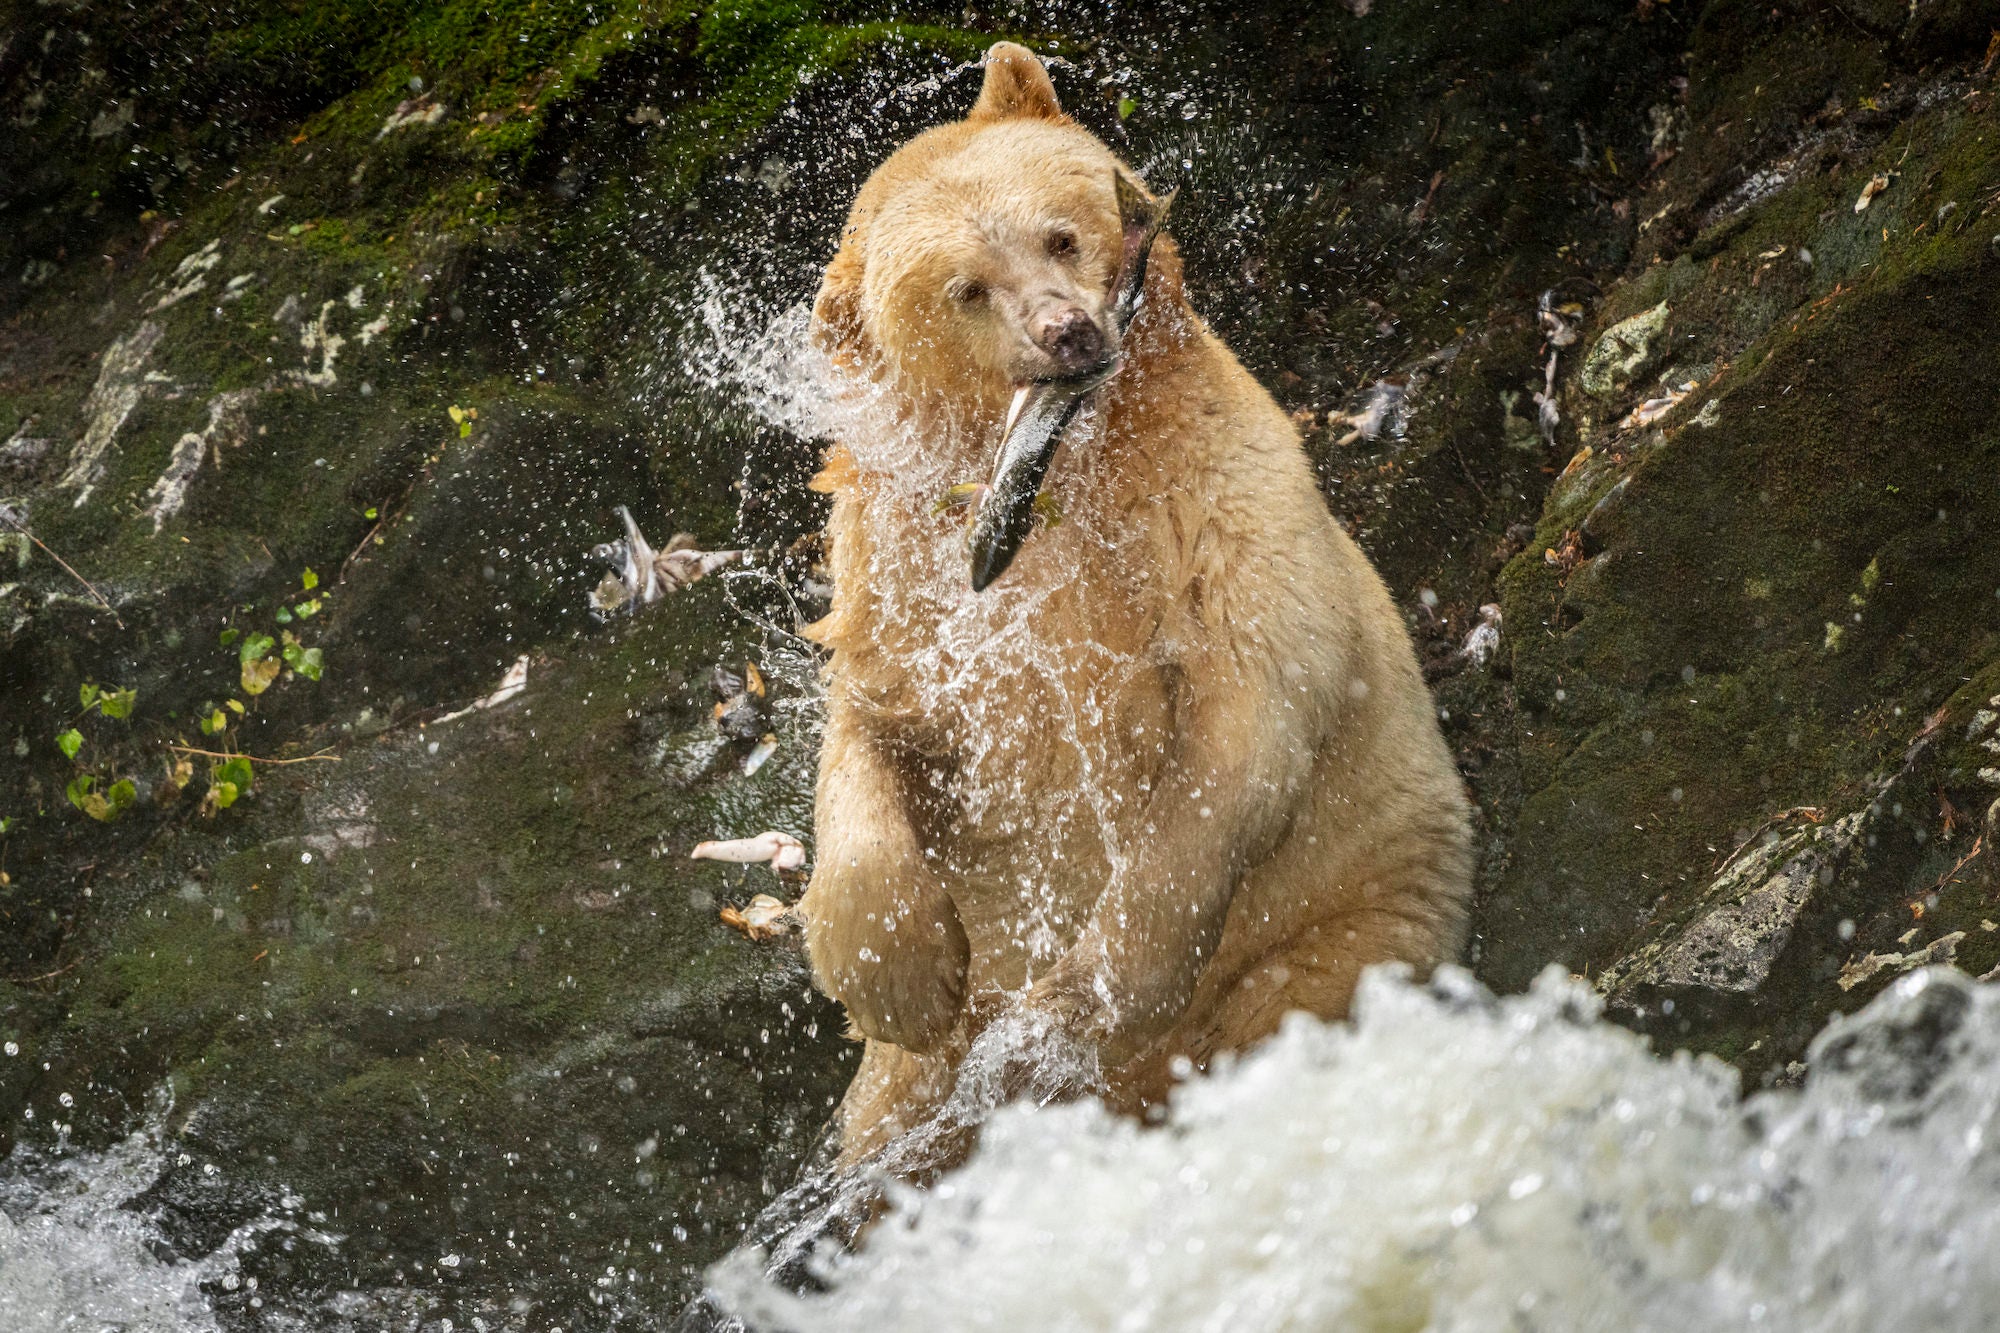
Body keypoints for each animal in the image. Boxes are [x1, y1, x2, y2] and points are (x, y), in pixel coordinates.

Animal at [797, 41, 1474, 1166]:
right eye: (965, 288)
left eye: (1059, 233)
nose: (1067, 331)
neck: (1073, 469)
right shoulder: (906, 583)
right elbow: (871, 735)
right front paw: (907, 980)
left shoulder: (1214, 506)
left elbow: (1242, 721)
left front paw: (1082, 996)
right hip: (905, 1097)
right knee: (890, 1125)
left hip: (1346, 917)